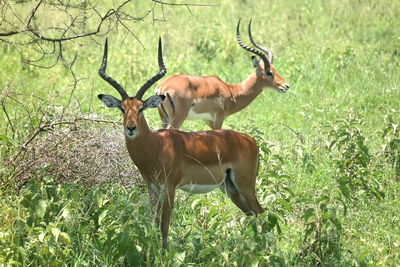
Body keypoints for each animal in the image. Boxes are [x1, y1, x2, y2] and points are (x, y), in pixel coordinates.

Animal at [98, 37, 264, 249]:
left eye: (141, 108)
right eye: (122, 108)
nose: (131, 127)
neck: (156, 147)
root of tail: (250, 140)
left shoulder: (169, 188)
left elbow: (165, 223)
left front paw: (163, 251)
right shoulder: (152, 188)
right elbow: (153, 221)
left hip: (245, 185)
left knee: (260, 212)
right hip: (231, 188)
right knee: (252, 215)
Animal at [155, 19, 290, 131]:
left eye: (275, 69)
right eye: (269, 72)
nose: (286, 86)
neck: (231, 91)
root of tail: (163, 87)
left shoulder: (208, 120)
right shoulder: (219, 117)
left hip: (164, 119)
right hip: (178, 119)